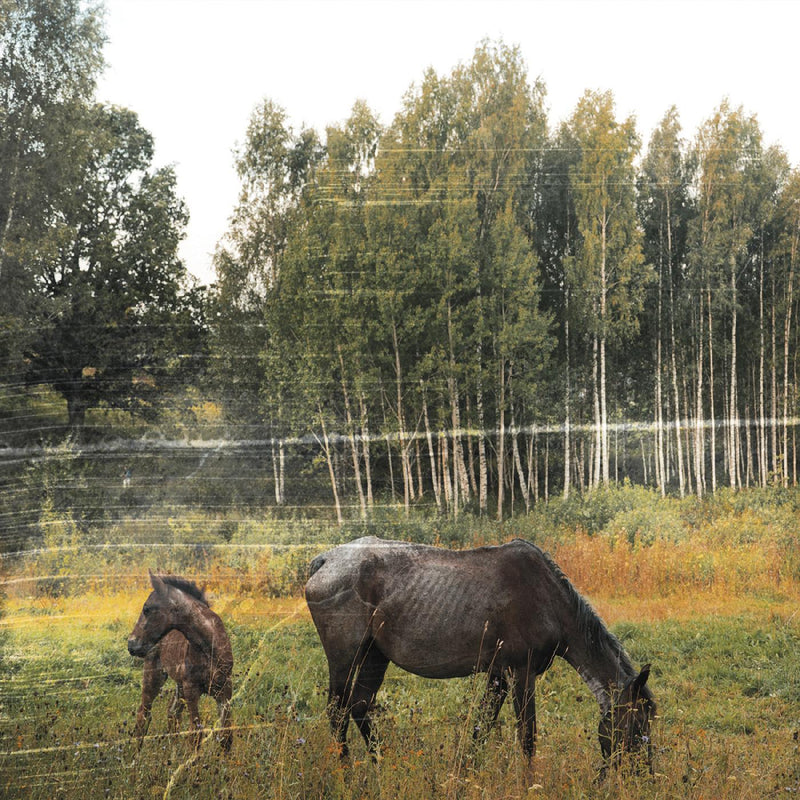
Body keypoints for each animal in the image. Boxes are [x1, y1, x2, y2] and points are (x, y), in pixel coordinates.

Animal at [128, 576, 233, 752]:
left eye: (147, 609)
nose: (131, 644)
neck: (209, 645)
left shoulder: (224, 689)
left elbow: (226, 735)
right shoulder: (192, 690)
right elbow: (195, 733)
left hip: (179, 685)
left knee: (172, 712)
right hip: (154, 676)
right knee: (144, 712)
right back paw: (135, 755)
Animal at [304, 536, 652, 772]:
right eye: (638, 723)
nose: (644, 774)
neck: (549, 601)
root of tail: (325, 560)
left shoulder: (498, 676)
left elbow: (480, 730)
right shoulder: (521, 673)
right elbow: (527, 737)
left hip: (375, 656)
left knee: (360, 706)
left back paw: (380, 767)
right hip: (345, 655)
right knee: (337, 712)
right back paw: (346, 772)